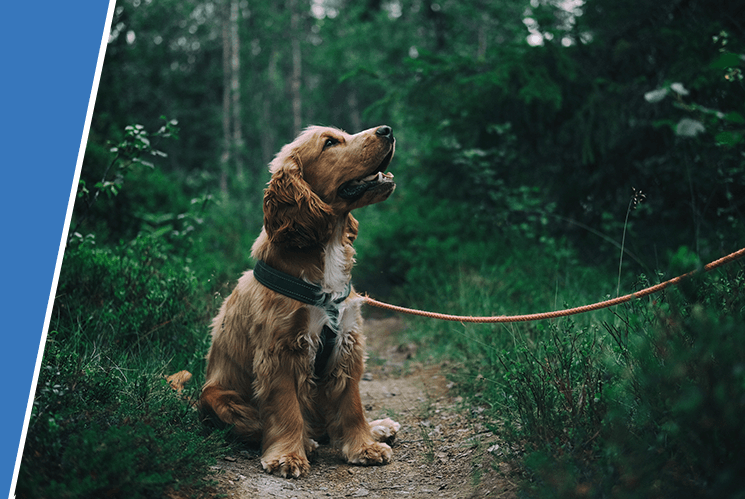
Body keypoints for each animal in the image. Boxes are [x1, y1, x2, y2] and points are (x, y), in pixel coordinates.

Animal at [198, 126, 402, 480]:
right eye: (330, 142)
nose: (387, 130)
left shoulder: (347, 343)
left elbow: (351, 404)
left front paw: (364, 446)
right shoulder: (281, 350)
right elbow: (286, 408)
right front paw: (288, 456)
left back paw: (378, 427)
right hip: (216, 396)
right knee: (261, 424)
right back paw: (306, 441)